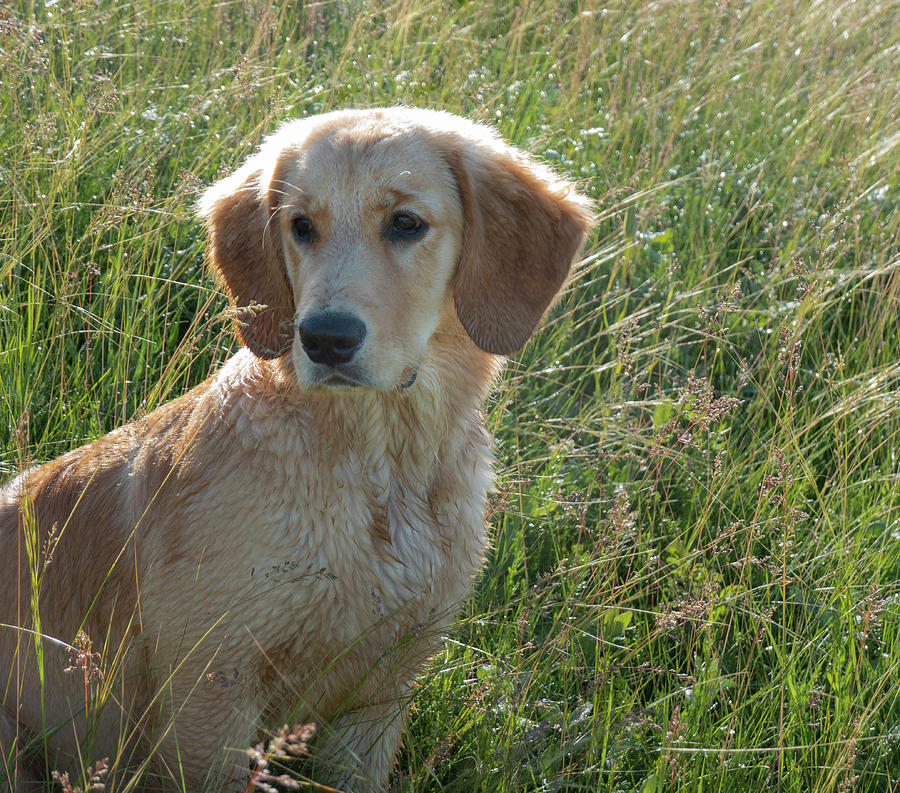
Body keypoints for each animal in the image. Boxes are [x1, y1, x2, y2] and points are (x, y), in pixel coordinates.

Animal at [0, 106, 596, 792]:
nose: (325, 338)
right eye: (301, 226)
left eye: (406, 223)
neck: (382, 473)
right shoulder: (212, 692)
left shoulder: (380, 695)